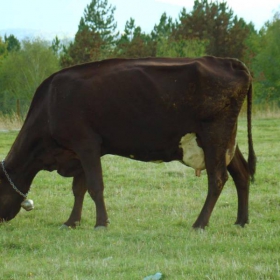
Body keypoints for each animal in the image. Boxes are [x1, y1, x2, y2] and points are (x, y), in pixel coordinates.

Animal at [0, 55, 256, 229]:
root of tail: (229, 61)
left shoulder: (86, 144)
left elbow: (95, 186)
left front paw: (101, 223)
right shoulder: (79, 152)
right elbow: (79, 189)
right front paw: (72, 222)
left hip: (214, 135)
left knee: (218, 179)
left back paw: (200, 223)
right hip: (226, 140)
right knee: (241, 173)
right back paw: (241, 221)